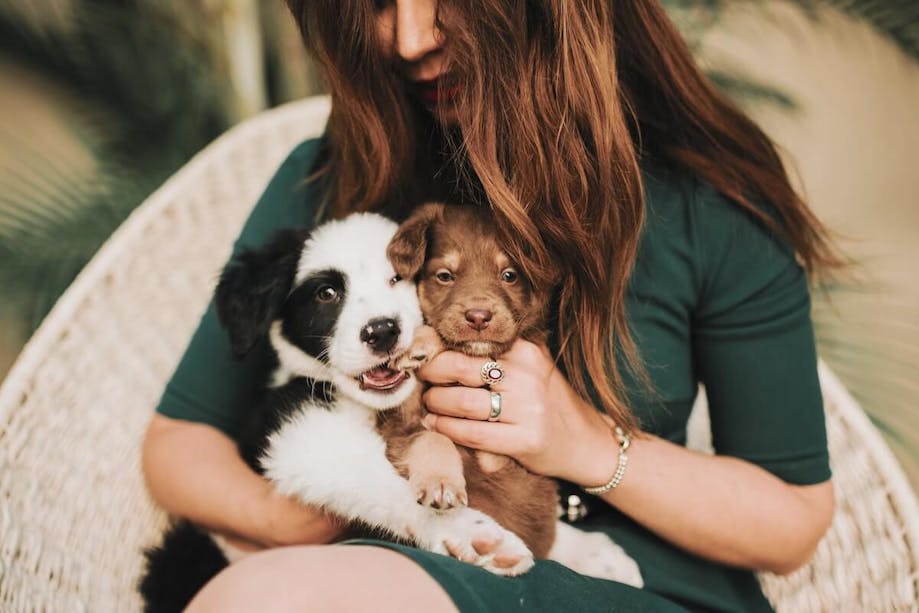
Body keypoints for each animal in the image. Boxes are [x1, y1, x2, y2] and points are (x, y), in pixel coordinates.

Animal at [140, 213, 536, 608]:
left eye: (398, 278)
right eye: (326, 294)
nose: (382, 331)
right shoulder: (297, 434)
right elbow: (377, 481)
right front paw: (472, 534)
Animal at [382, 202, 556, 560]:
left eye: (509, 275)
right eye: (445, 276)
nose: (479, 317)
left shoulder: (504, 458)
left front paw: (423, 342)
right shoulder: (399, 425)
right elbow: (432, 437)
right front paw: (441, 483)